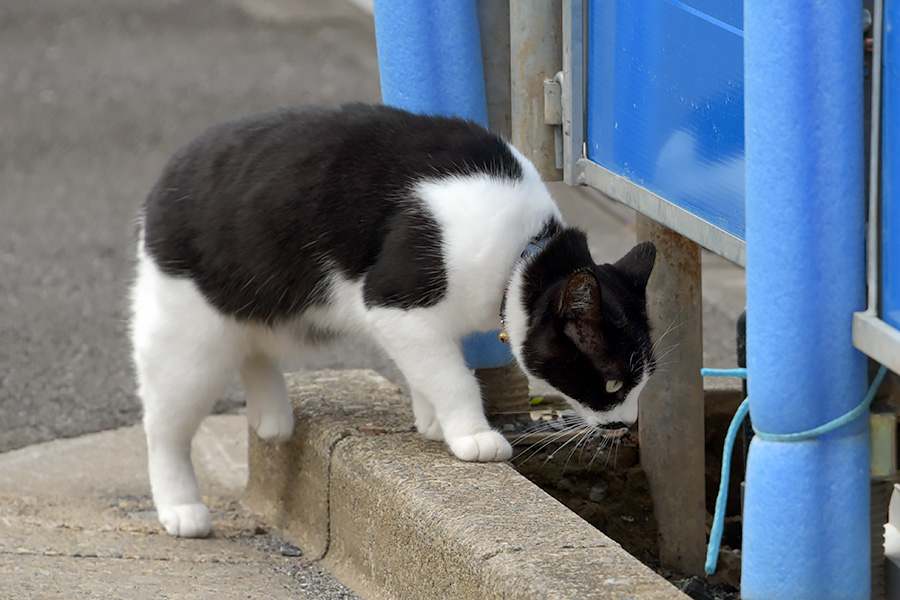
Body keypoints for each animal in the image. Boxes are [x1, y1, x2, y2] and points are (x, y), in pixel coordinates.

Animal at [130, 101, 656, 536]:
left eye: (643, 383)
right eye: (613, 383)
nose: (628, 424)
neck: (525, 250)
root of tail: (169, 170)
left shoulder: (417, 324)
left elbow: (432, 369)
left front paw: (434, 420)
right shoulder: (396, 302)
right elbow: (454, 376)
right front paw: (472, 434)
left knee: (253, 345)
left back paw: (271, 415)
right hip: (189, 343)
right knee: (164, 426)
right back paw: (180, 508)